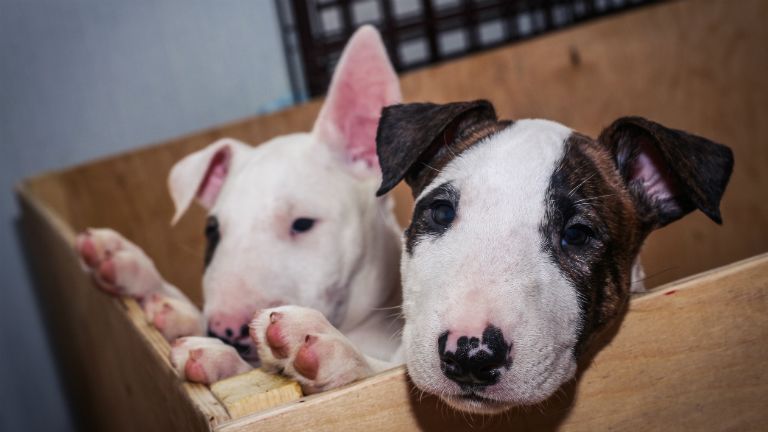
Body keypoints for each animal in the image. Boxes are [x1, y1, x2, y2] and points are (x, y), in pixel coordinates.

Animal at [75, 26, 404, 392]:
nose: (227, 333)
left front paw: (337, 351)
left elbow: (388, 371)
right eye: (212, 231)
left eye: (302, 223)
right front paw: (136, 272)